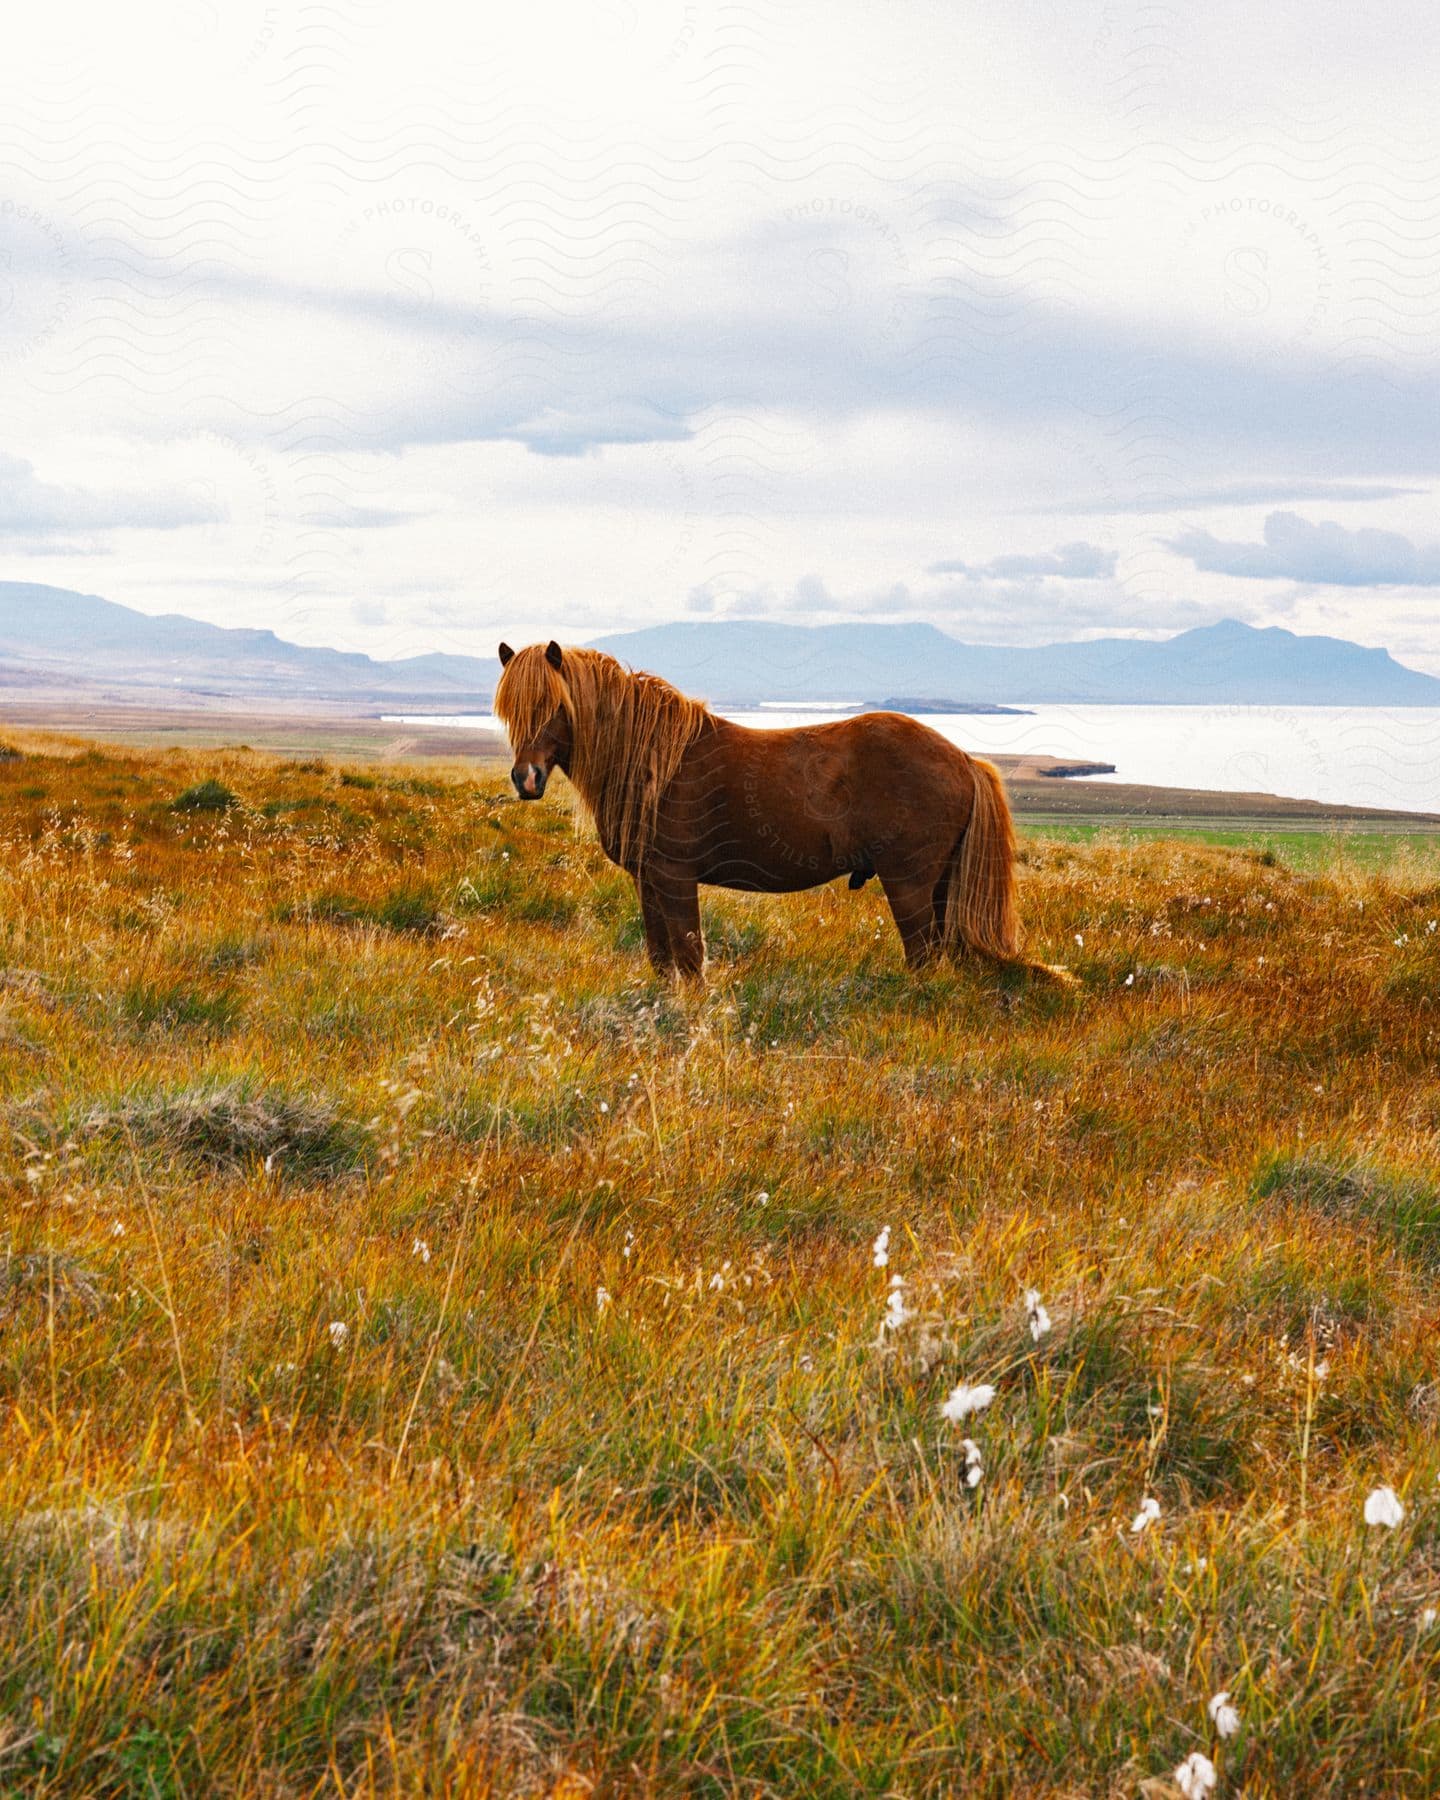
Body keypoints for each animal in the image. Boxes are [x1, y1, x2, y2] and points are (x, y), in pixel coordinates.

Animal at [496, 640, 1036, 986]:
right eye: (510, 710)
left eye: (554, 705)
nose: (527, 779)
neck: (651, 759)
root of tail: (963, 759)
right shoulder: (647, 880)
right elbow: (661, 959)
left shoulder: (674, 876)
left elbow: (689, 959)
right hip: (939, 885)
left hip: (909, 884)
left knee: (923, 956)